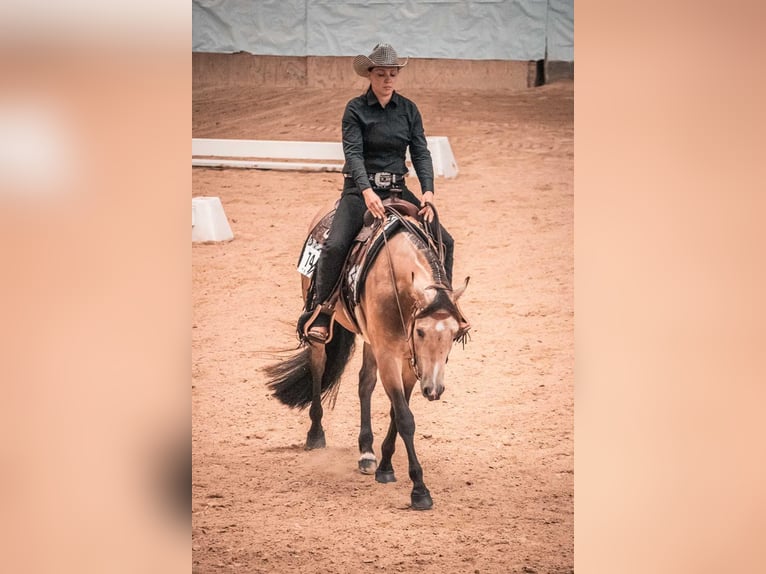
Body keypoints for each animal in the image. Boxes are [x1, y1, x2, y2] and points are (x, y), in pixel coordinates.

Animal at [262, 196, 468, 510]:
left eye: (454, 334)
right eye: (421, 332)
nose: (433, 390)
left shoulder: (408, 362)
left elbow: (397, 411)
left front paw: (384, 465)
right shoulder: (389, 355)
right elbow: (405, 417)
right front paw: (419, 490)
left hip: (372, 341)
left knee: (364, 383)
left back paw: (367, 451)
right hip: (321, 325)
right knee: (318, 365)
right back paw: (315, 434)